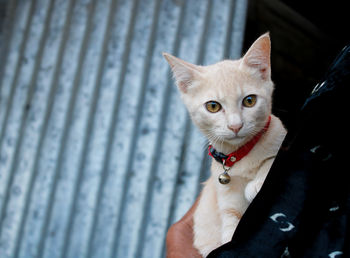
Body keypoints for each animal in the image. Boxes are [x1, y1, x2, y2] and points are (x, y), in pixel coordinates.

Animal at [163, 33, 286, 256]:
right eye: (213, 106)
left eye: (249, 101)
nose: (235, 125)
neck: (239, 154)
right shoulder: (227, 206)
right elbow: (231, 237)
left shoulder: (280, 134)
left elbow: (273, 157)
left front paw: (256, 183)